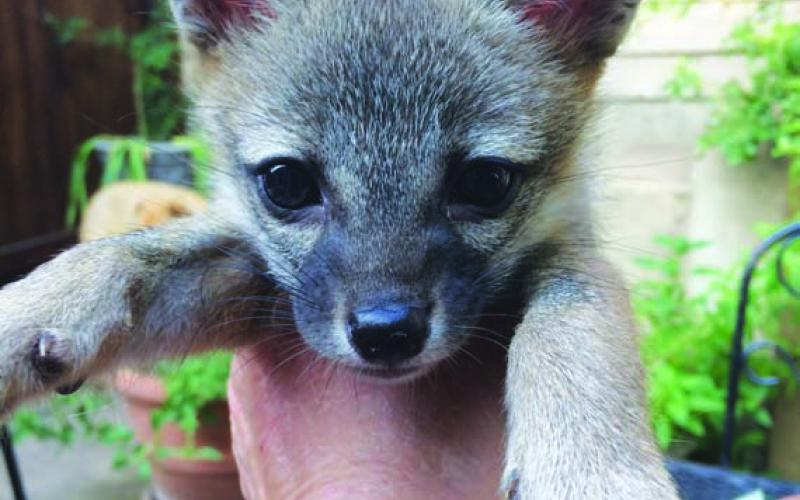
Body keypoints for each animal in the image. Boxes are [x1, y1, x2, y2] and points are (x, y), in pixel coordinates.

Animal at [0, 0, 678, 497]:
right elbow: (139, 253)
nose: (387, 332)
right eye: (286, 182)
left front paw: (591, 469)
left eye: (486, 183)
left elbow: (570, 323)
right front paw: (34, 312)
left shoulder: (574, 253)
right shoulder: (267, 291)